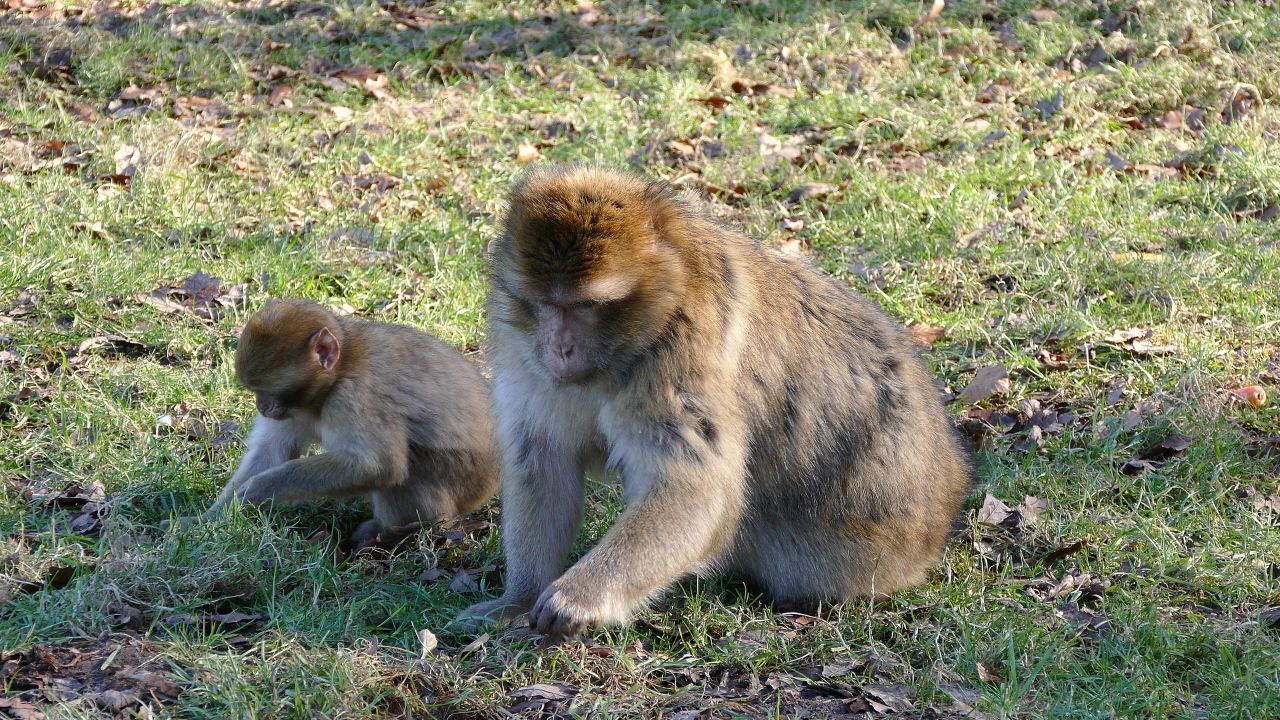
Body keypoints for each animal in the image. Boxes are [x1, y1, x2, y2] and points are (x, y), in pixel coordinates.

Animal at [197, 298, 496, 543]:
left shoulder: (357, 396)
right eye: (255, 391)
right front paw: (211, 521)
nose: (262, 407)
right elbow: (272, 451)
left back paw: (397, 532)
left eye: (266, 391)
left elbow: (377, 465)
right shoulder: (294, 410)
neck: (338, 374)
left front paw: (260, 489)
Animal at [460, 163, 967, 632]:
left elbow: (697, 486)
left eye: (586, 306)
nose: (560, 347)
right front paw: (520, 598)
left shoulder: (681, 354)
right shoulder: (523, 349)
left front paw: (578, 597)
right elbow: (544, 459)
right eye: (547, 304)